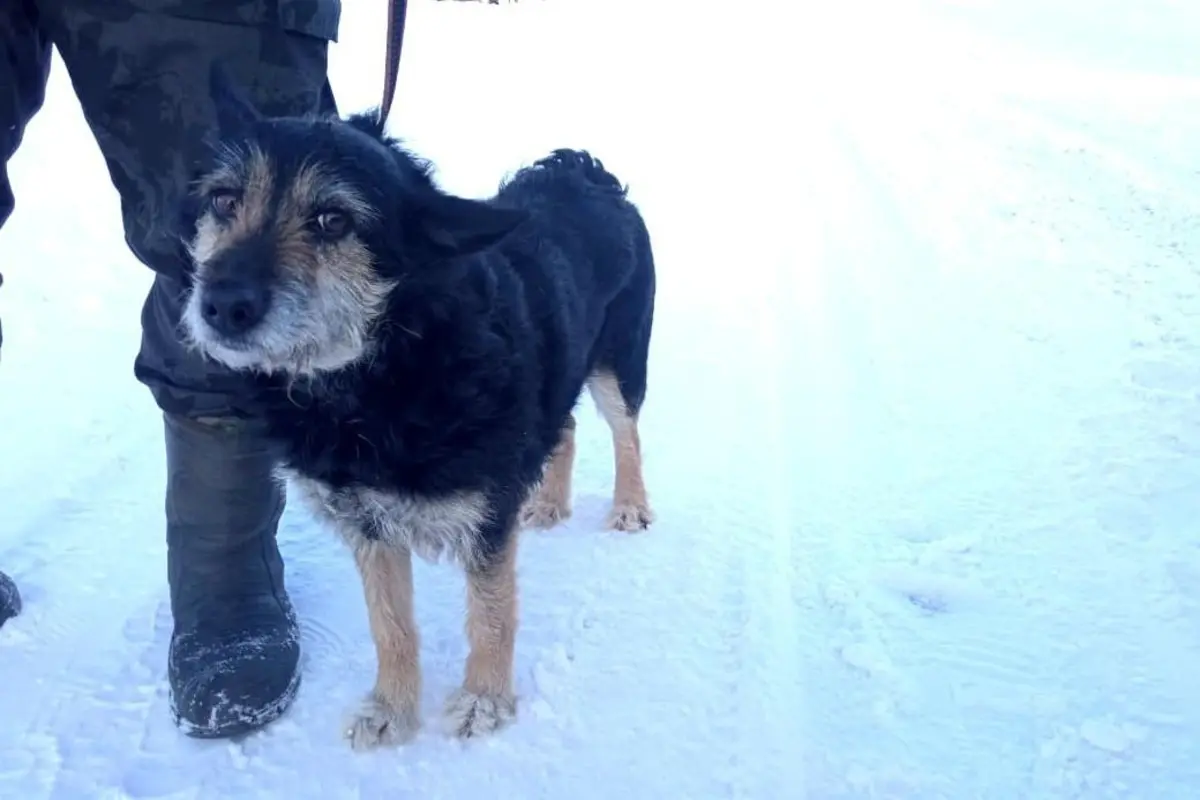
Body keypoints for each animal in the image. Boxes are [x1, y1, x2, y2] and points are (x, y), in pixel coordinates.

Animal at [180, 70, 657, 753]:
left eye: (333, 219)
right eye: (223, 200)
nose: (221, 304)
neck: (379, 375)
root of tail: (584, 171)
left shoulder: (486, 519)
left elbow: (490, 617)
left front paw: (484, 701)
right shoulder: (366, 521)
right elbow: (392, 627)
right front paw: (392, 709)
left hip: (620, 358)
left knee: (626, 432)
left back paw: (629, 506)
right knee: (562, 426)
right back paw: (547, 501)